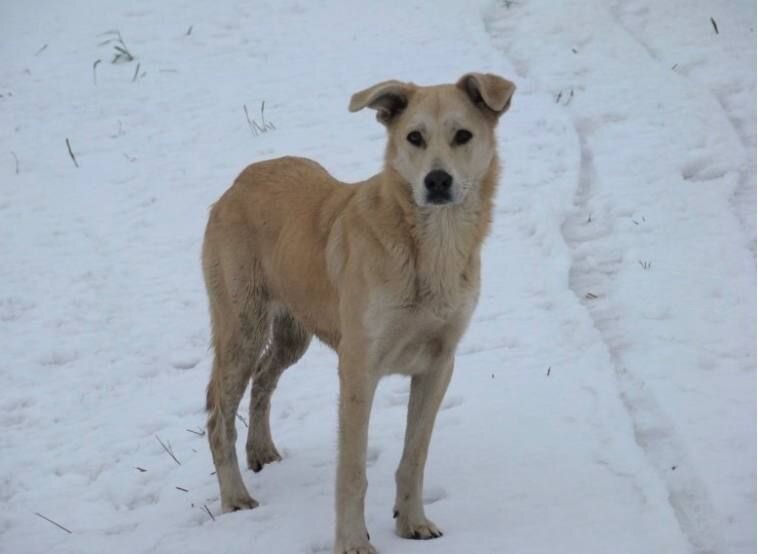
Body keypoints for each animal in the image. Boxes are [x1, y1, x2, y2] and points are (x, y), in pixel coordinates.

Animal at [203, 73, 516, 552]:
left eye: (463, 135)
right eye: (414, 137)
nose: (437, 181)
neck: (430, 250)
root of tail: (240, 181)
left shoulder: (439, 365)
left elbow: (414, 456)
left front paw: (412, 521)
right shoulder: (358, 367)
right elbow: (351, 472)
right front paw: (352, 541)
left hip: (293, 333)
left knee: (264, 378)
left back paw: (261, 450)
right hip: (243, 328)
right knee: (218, 414)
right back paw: (235, 496)